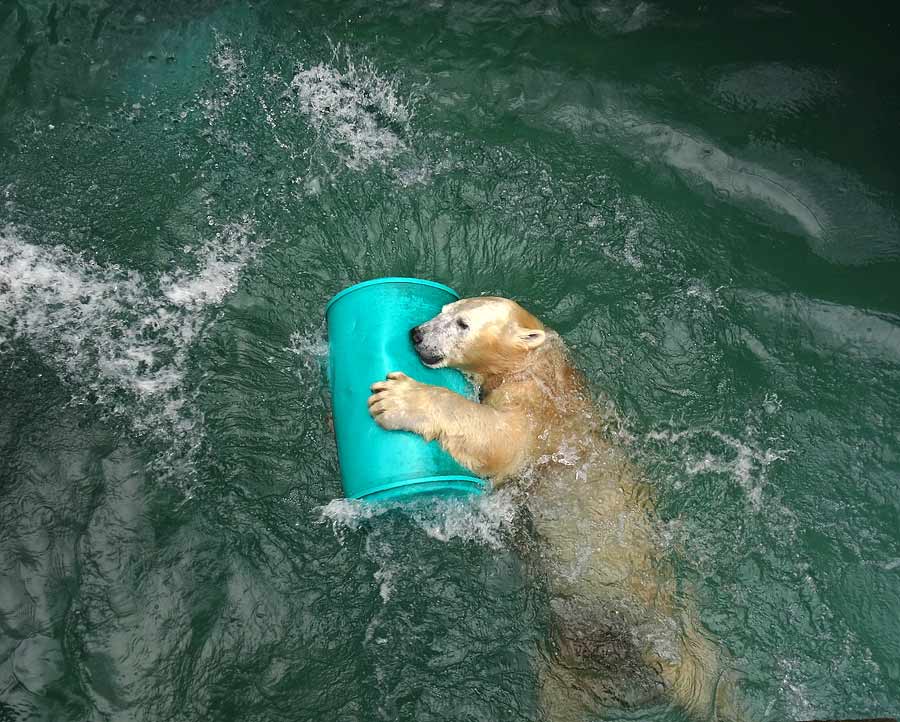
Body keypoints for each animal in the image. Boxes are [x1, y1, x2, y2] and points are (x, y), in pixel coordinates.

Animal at [370, 294, 740, 720]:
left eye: (463, 324)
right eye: (444, 310)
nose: (416, 334)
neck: (537, 364)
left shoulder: (536, 412)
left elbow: (497, 438)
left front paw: (397, 397)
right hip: (569, 660)